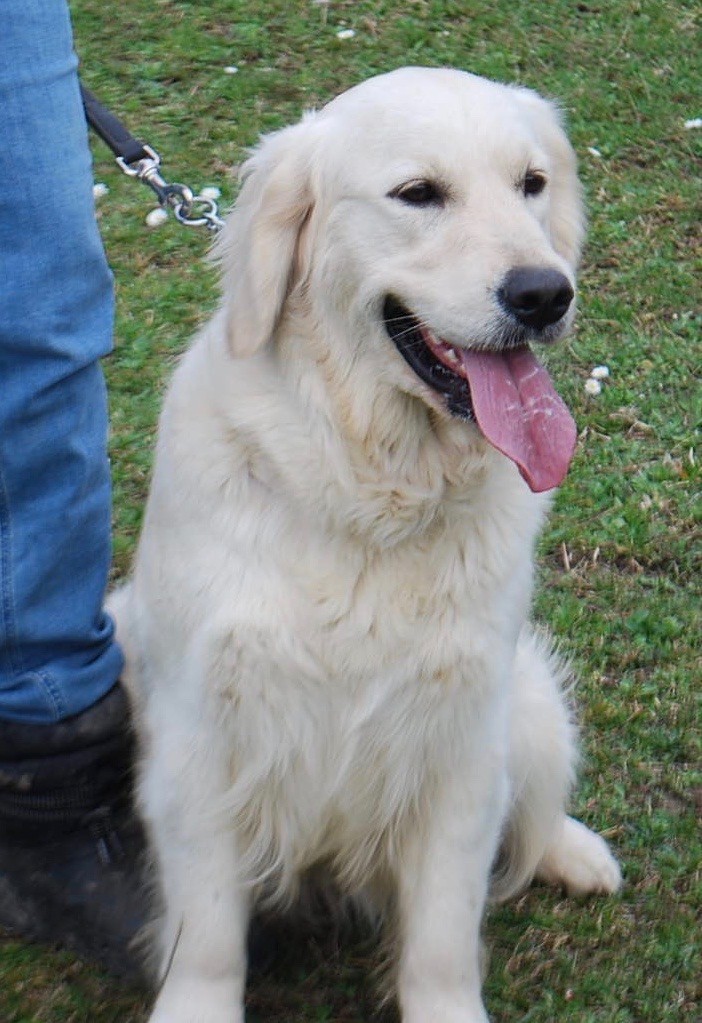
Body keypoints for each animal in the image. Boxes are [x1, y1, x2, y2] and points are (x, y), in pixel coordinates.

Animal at [112, 70, 626, 1023]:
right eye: (418, 193)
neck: (370, 488)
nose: (545, 293)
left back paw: (574, 853)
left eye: (532, 183)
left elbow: (443, 939)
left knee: (536, 811)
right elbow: (206, 936)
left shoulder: (461, 739)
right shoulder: (201, 739)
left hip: (528, 698)